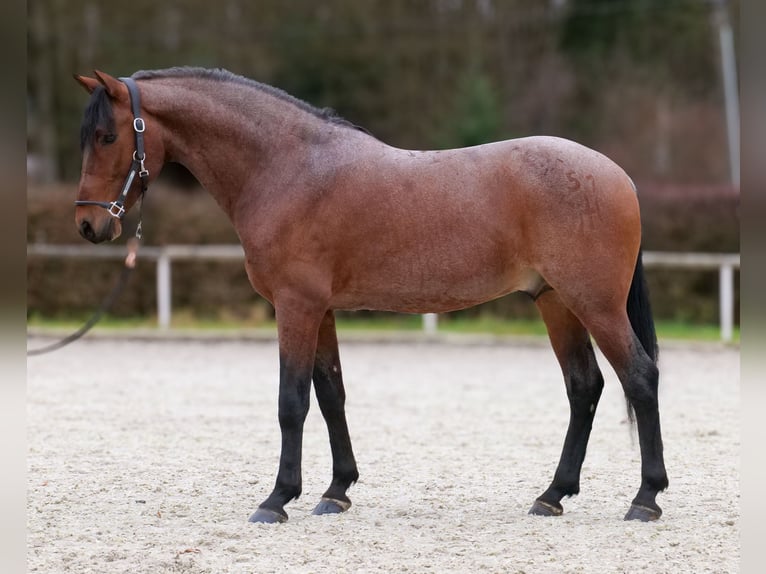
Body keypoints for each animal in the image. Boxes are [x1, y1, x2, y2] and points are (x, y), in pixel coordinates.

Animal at [73, 67, 667, 523]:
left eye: (107, 137)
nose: (88, 225)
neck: (288, 168)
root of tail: (618, 176)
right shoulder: (321, 311)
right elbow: (331, 394)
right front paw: (336, 492)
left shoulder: (295, 307)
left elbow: (292, 401)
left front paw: (277, 499)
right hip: (555, 302)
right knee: (584, 387)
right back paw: (552, 495)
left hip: (595, 304)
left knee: (639, 378)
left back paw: (645, 498)